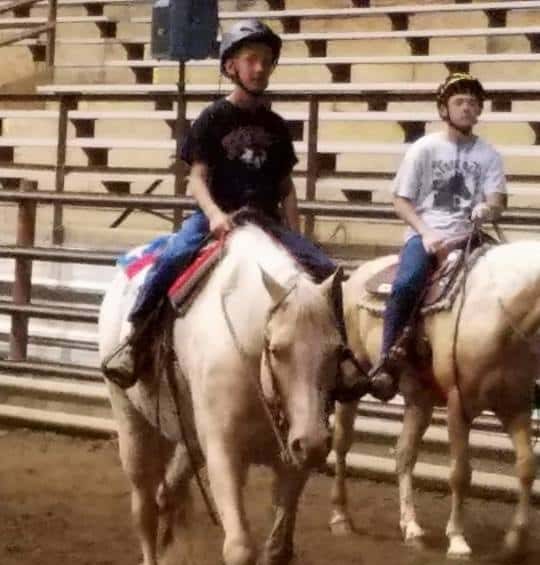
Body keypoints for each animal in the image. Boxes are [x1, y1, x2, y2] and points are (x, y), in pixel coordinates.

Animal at [98, 224, 342, 564]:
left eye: (338, 350)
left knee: (168, 494)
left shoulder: (293, 462)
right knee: (144, 508)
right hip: (132, 423)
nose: (314, 444)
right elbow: (239, 547)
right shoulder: (223, 452)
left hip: (189, 438)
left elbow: (277, 549)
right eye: (277, 350)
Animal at [332, 240, 536, 556]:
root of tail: (356, 277)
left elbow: (527, 466)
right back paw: (342, 517)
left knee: (404, 454)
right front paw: (458, 540)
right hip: (352, 380)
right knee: (342, 444)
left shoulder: (516, 406)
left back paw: (412, 528)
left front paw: (516, 539)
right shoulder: (458, 404)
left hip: (420, 401)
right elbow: (460, 473)